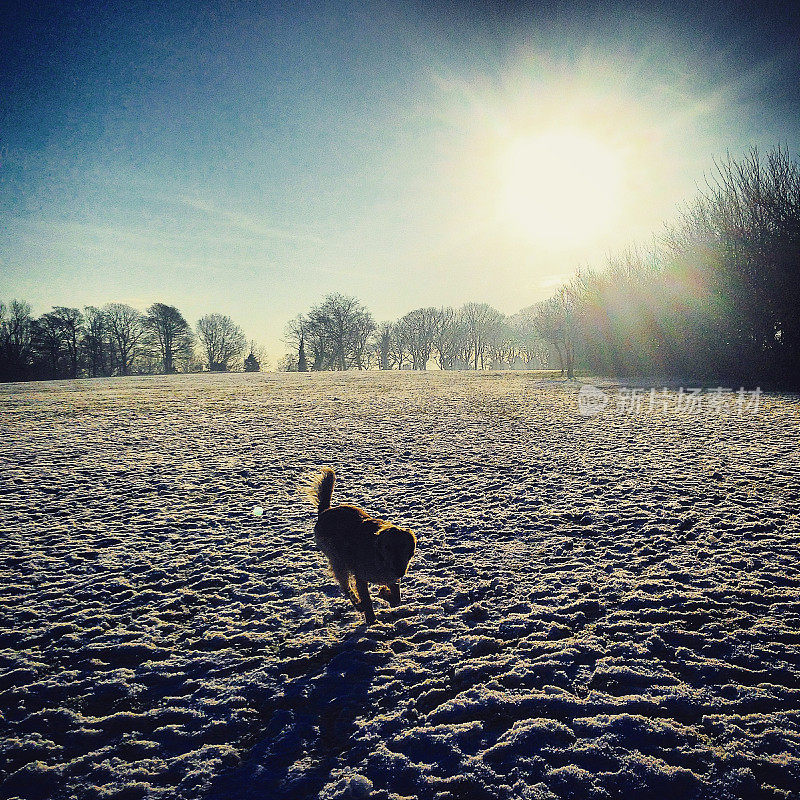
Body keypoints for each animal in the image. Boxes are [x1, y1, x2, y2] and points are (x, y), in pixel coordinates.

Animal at [298, 468, 416, 624]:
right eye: (387, 547)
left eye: (404, 546)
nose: (399, 571)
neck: (378, 557)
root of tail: (325, 511)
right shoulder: (360, 578)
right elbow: (367, 600)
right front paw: (371, 620)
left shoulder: (391, 577)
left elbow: (396, 599)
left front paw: (384, 593)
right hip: (339, 562)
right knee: (345, 587)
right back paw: (358, 605)